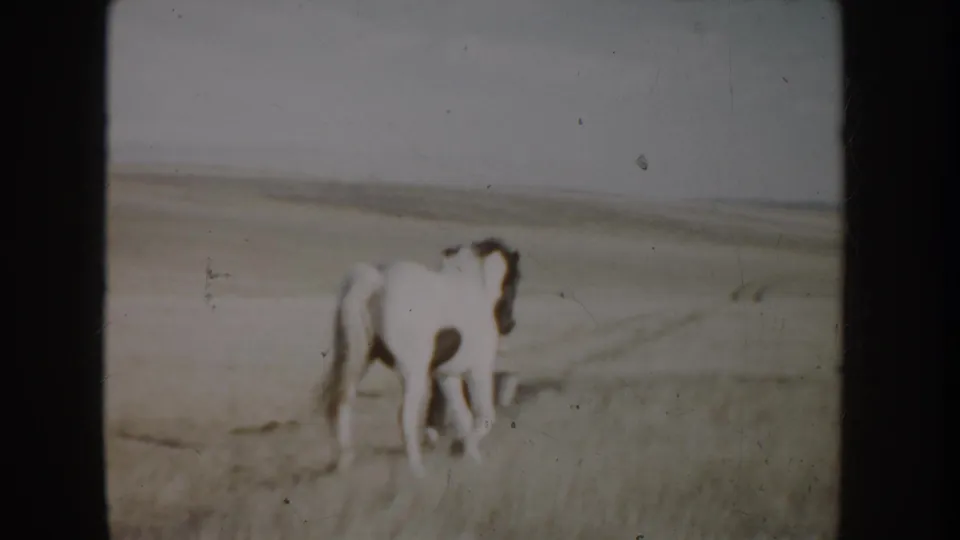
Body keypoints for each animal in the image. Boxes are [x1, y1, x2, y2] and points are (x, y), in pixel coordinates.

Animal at [318, 238, 521, 477]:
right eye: (514, 279)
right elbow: (485, 417)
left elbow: (463, 417)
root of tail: (377, 282)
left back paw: (345, 463)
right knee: (405, 417)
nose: (509, 325)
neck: (476, 292)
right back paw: (417, 471)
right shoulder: (478, 370)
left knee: (343, 404)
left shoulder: (447, 376)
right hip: (412, 374)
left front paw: (470, 460)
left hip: (359, 360)